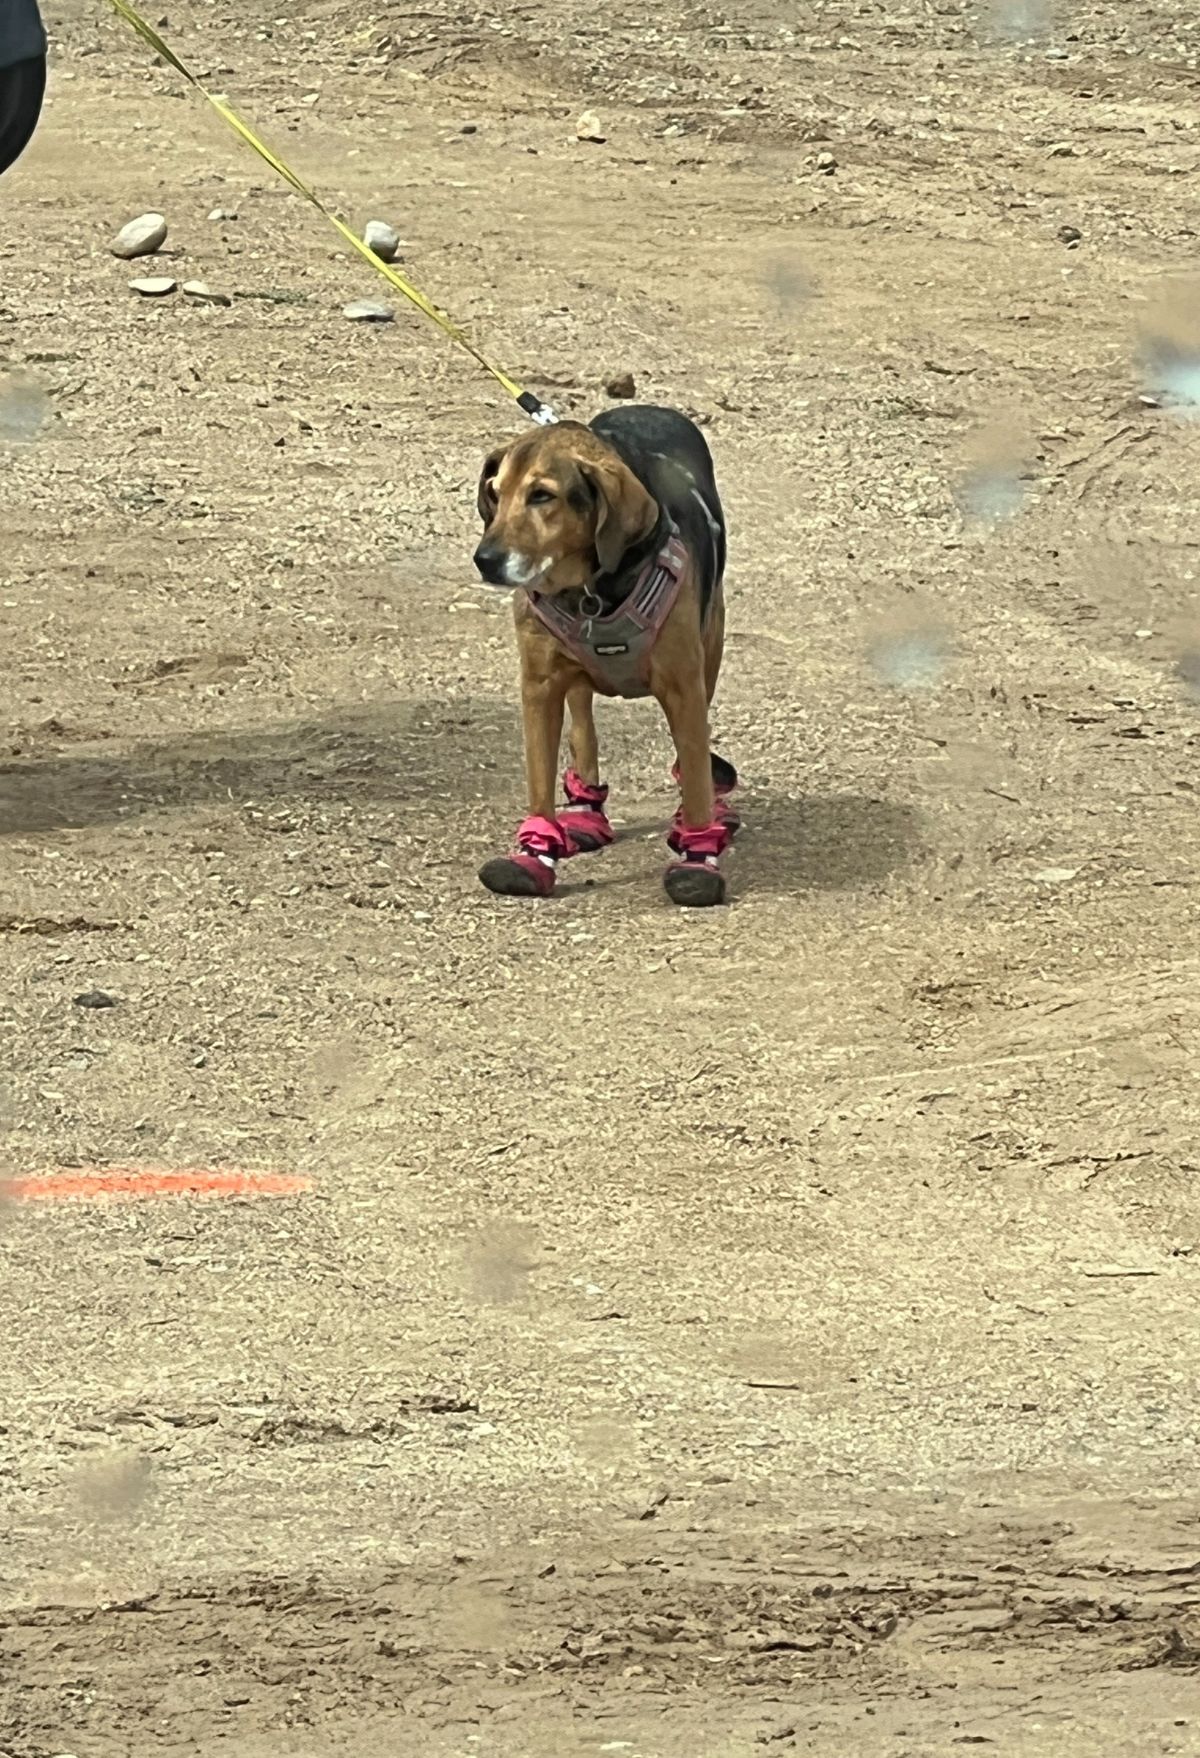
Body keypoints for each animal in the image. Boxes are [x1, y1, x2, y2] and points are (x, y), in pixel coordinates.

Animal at [470, 402, 737, 907]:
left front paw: (697, 857)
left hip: (711, 649)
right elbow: (540, 780)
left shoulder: (684, 689)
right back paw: (584, 809)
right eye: (496, 493)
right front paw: (534, 853)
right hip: (574, 681)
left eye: (542, 496)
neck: (590, 591)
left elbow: (694, 775)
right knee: (584, 730)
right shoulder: (539, 688)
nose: (485, 559)